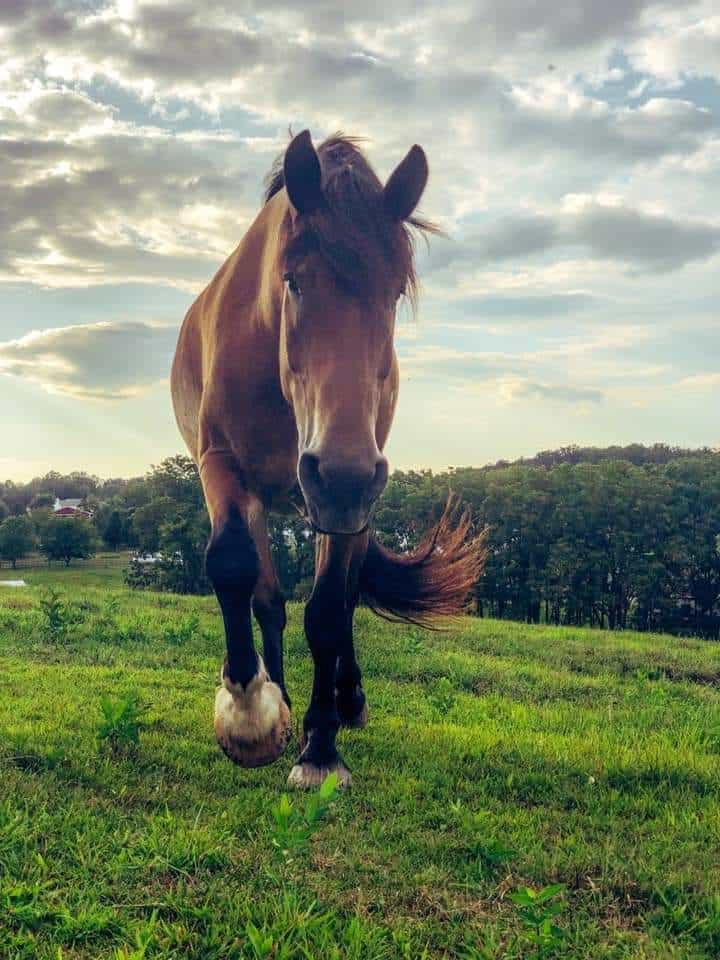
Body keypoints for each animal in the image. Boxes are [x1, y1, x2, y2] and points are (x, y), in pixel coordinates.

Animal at [170, 129, 484, 788]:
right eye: (293, 281)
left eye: (394, 292)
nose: (340, 475)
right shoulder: (222, 465)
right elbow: (234, 568)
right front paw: (250, 715)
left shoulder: (348, 501)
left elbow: (330, 614)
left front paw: (320, 746)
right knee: (267, 601)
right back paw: (280, 698)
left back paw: (347, 699)